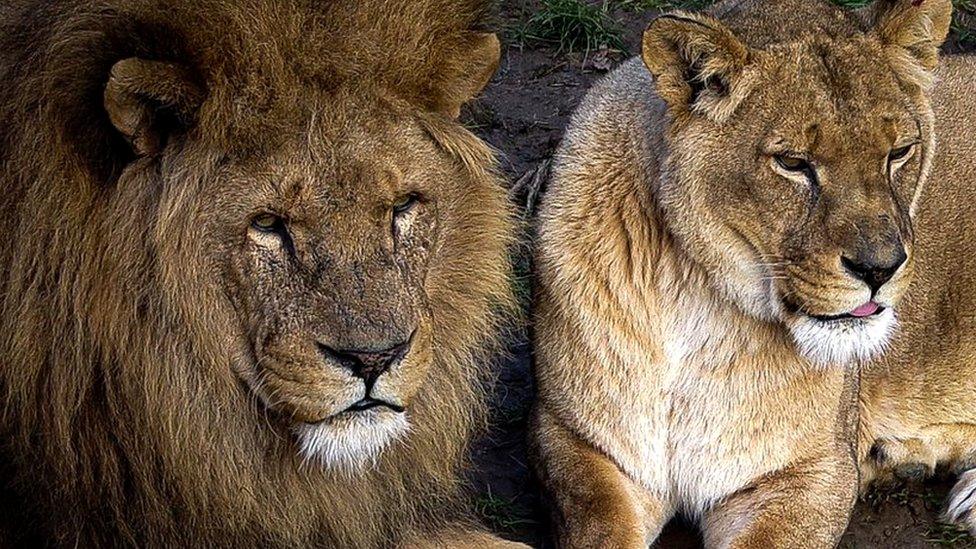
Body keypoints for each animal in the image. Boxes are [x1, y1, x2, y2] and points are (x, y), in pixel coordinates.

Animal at [532, 0, 976, 544]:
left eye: (899, 153)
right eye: (792, 163)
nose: (880, 268)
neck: (697, 298)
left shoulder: (813, 472)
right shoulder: (577, 439)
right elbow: (598, 525)